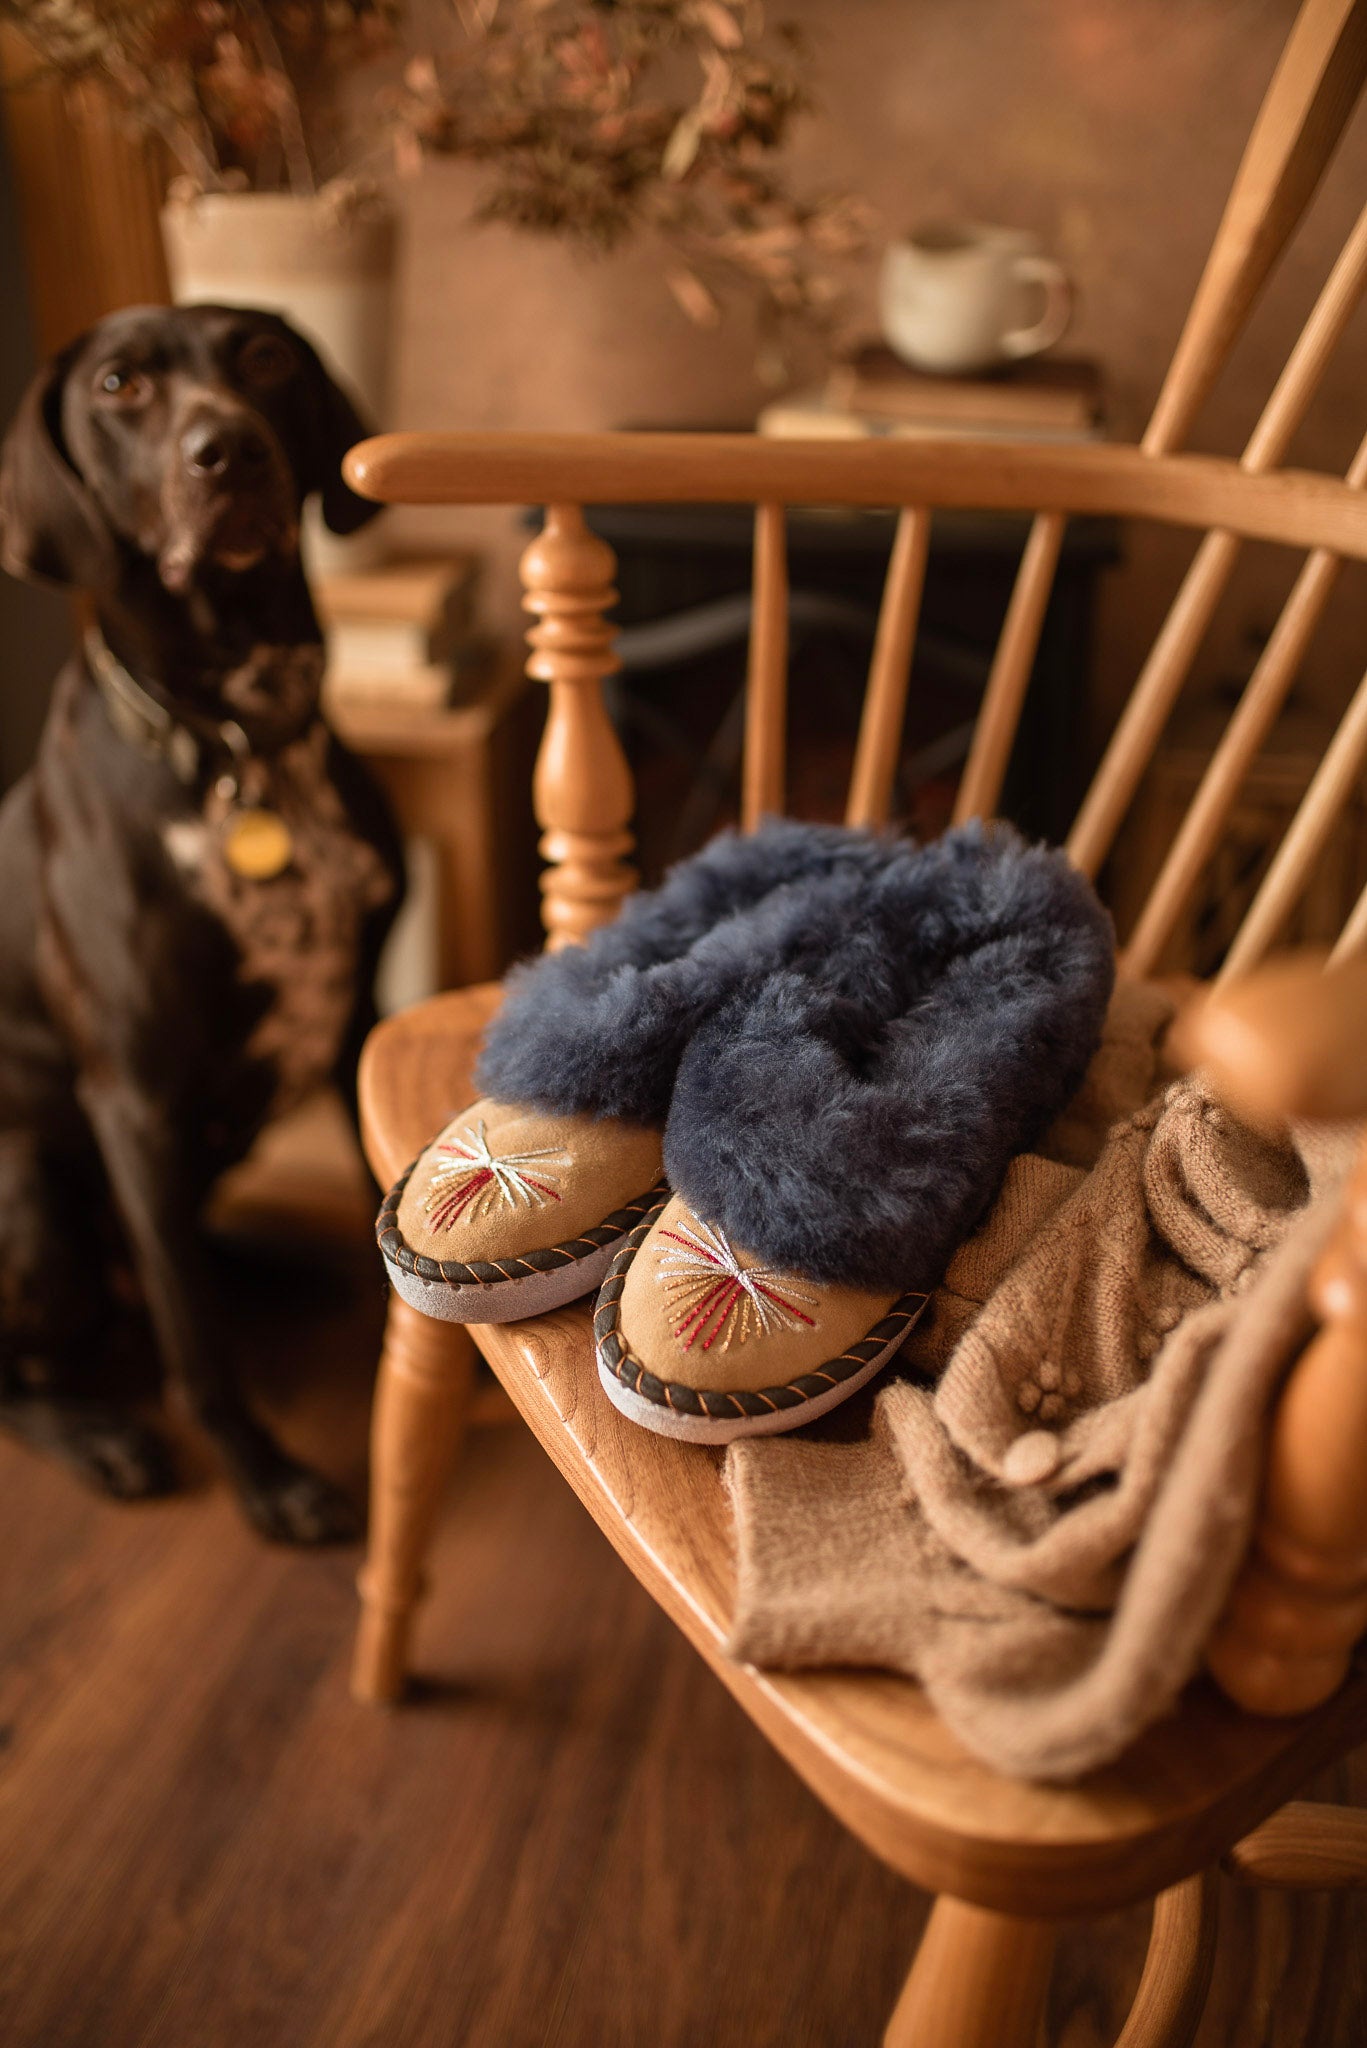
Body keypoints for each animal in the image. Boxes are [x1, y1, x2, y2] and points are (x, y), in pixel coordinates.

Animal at [0, 303, 403, 1540]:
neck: (237, 740)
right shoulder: (131, 1102)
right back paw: (102, 1434)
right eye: (119, 385)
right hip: (30, 1189)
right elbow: (199, 1346)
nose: (227, 452)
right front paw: (268, 1480)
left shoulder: (355, 1016)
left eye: (263, 357)